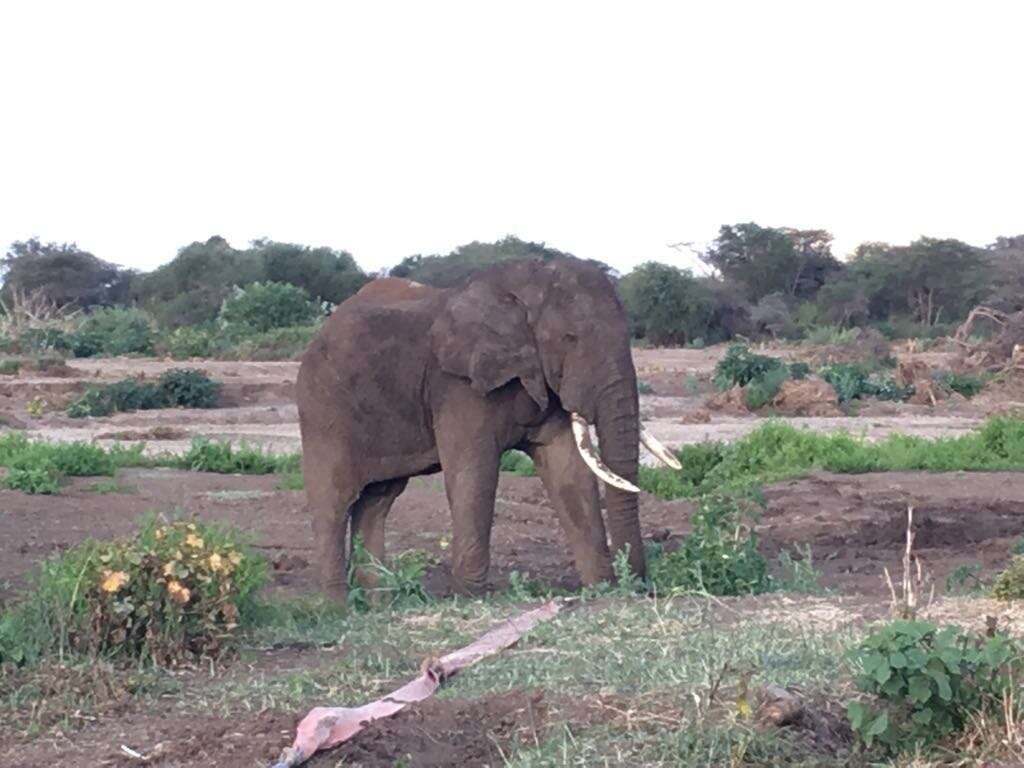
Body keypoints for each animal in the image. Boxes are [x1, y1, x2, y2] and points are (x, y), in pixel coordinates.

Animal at [296, 256, 679, 606]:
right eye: (569, 338)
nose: (640, 585)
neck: (523, 286)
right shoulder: (457, 384)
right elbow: (474, 474)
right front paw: (469, 600)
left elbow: (568, 472)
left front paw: (602, 590)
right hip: (322, 411)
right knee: (333, 501)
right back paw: (337, 610)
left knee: (377, 501)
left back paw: (379, 607)